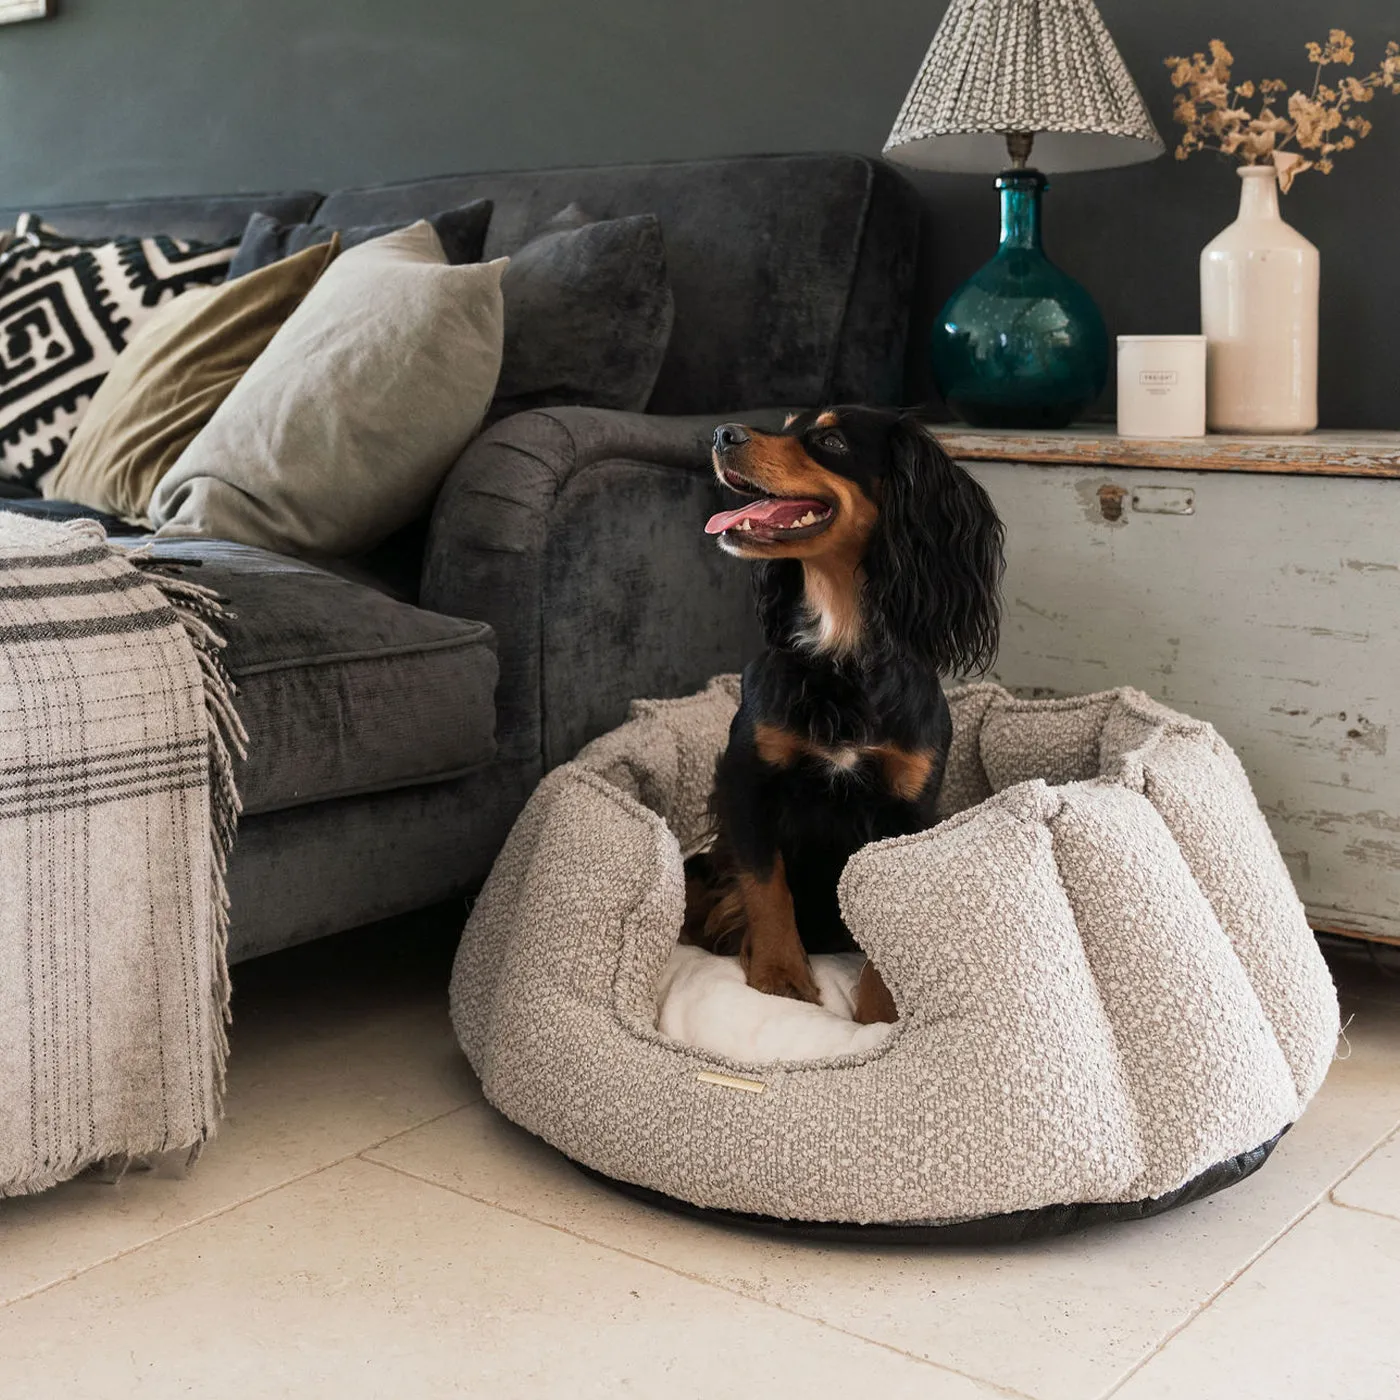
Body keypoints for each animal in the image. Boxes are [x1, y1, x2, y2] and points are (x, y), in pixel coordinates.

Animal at [680, 406, 1002, 1030]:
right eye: (786, 424)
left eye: (829, 440)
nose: (722, 434)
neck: (839, 648)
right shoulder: (748, 781)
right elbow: (766, 884)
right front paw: (780, 978)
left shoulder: (906, 808)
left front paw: (881, 1014)